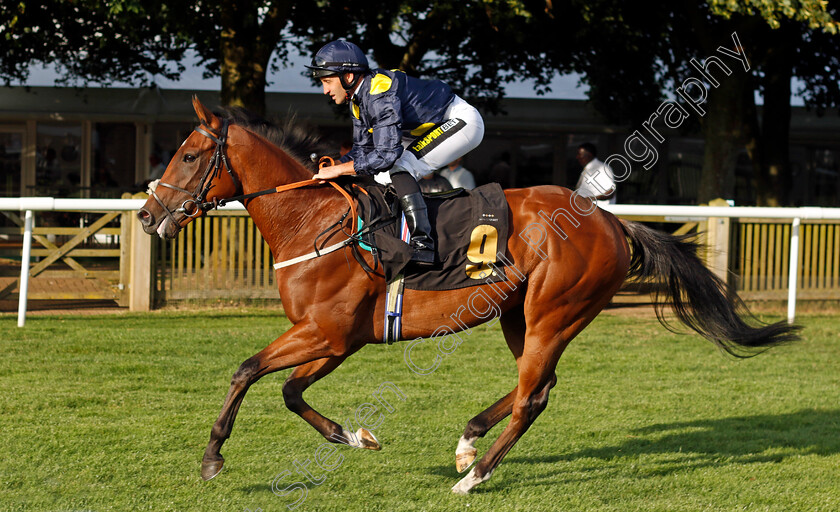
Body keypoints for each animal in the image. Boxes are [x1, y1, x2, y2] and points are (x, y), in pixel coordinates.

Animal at [138, 98, 800, 494]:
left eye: (190, 155)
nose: (147, 216)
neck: (314, 221)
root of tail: (611, 220)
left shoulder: (325, 332)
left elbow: (247, 370)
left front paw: (212, 458)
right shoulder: (339, 340)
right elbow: (289, 390)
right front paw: (355, 436)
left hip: (553, 312)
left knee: (532, 396)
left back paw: (473, 475)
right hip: (519, 314)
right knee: (539, 386)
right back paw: (466, 443)